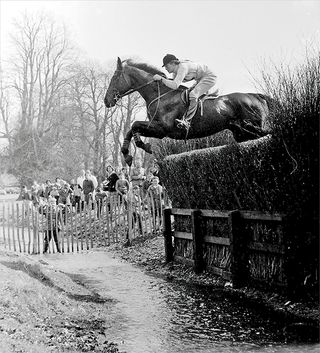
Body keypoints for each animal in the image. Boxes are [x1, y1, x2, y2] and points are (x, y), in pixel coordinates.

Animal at [104, 57, 272, 166]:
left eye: (114, 78)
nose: (106, 101)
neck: (160, 94)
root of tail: (255, 95)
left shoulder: (162, 129)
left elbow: (134, 126)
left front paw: (143, 146)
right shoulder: (156, 127)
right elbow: (131, 129)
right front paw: (128, 155)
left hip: (254, 128)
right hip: (241, 134)